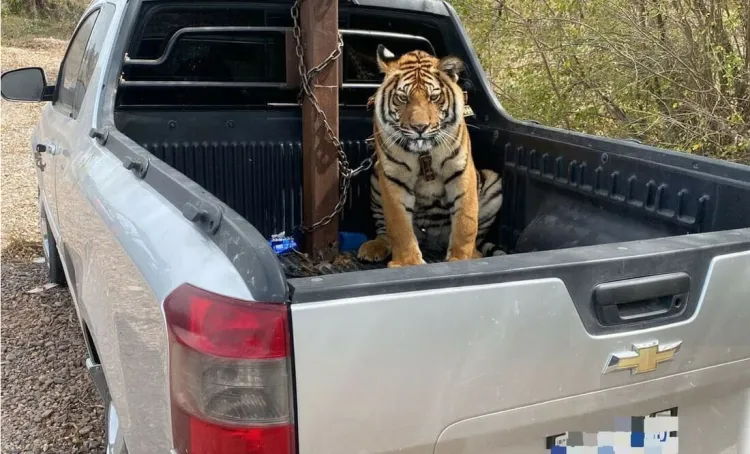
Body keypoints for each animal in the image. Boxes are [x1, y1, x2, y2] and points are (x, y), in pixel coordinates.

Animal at [356, 45, 504, 268]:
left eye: (433, 97)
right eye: (403, 98)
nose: (420, 127)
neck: (423, 153)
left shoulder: (461, 171)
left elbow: (466, 222)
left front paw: (461, 259)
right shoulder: (393, 178)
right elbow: (399, 226)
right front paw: (408, 263)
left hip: (493, 182)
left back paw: (476, 254)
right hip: (375, 176)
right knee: (384, 231)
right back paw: (374, 247)